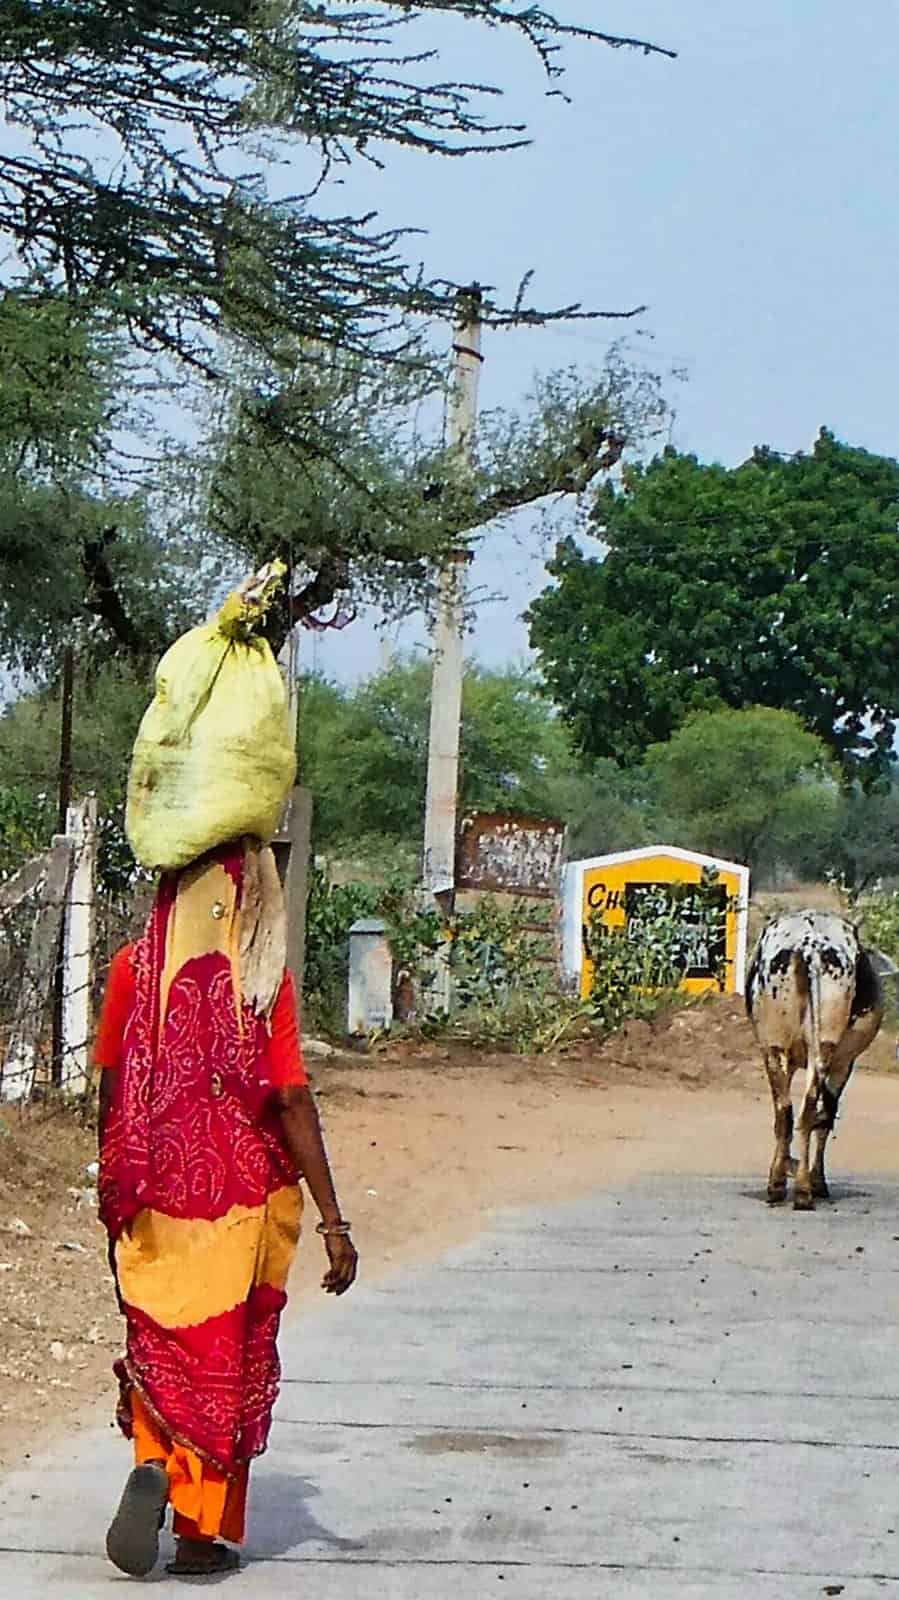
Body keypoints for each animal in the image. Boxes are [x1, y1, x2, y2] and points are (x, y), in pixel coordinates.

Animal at [742, 908, 883, 1203]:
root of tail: (810, 946)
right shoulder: (844, 1064)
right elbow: (825, 1118)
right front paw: (816, 1179)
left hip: (776, 1047)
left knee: (789, 1113)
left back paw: (786, 1186)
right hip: (816, 1048)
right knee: (806, 1112)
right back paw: (802, 1186)